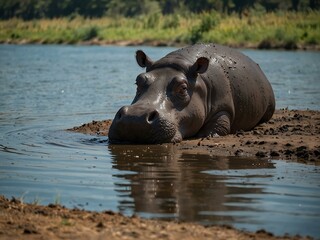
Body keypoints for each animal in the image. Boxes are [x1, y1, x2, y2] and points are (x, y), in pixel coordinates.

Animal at [108, 43, 276, 143]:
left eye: (183, 88)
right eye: (138, 80)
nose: (134, 119)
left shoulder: (223, 107)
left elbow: (220, 124)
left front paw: (208, 135)